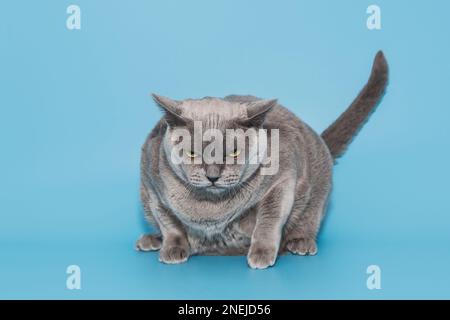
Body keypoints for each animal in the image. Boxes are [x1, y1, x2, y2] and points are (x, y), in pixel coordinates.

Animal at [136, 51, 386, 268]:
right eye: (192, 153)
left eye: (234, 152)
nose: (213, 176)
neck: (212, 211)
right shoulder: (152, 186)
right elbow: (170, 224)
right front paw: (173, 249)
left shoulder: (282, 179)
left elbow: (269, 219)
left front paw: (261, 254)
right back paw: (151, 240)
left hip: (316, 189)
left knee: (309, 218)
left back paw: (299, 243)